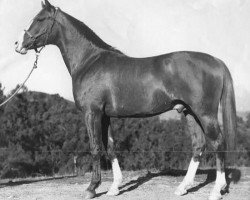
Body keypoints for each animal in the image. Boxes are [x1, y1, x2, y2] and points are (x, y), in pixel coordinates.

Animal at [14, 0, 237, 199]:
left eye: (40, 19)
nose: (18, 44)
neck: (89, 60)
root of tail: (216, 61)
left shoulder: (92, 113)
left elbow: (95, 148)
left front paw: (91, 188)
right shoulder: (104, 116)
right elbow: (110, 148)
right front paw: (114, 188)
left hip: (205, 113)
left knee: (218, 143)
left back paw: (216, 190)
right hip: (189, 112)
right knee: (198, 145)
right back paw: (183, 188)